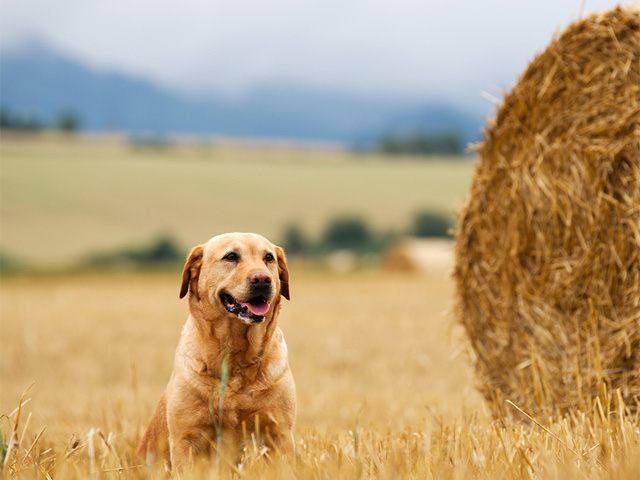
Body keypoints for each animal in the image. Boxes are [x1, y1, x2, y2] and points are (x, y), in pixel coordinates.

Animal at [138, 232, 298, 468]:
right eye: (231, 256)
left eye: (269, 257)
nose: (262, 279)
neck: (235, 356)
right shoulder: (186, 437)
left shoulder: (279, 432)